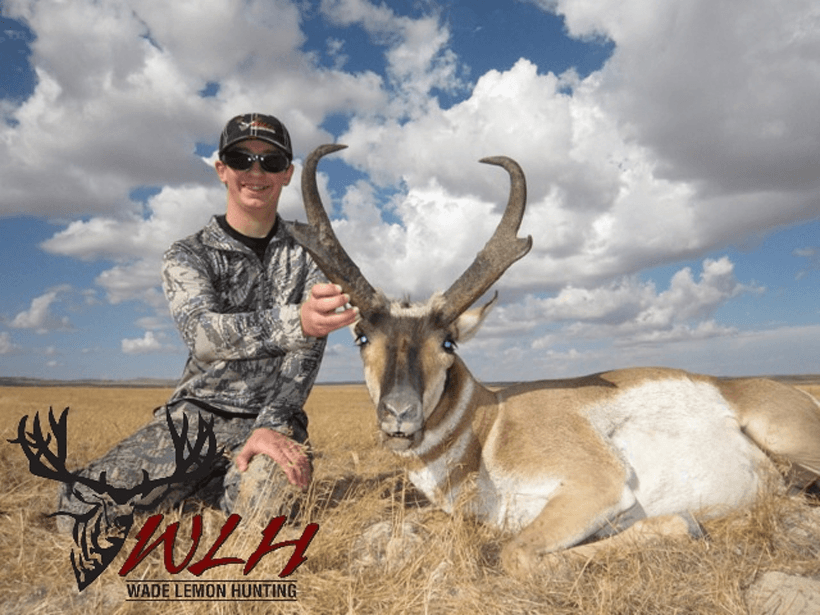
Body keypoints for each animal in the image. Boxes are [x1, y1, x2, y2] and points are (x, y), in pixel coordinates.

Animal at [290, 144, 820, 576]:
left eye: (448, 344)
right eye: (361, 336)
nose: (399, 414)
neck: (490, 427)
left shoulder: (597, 488)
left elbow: (516, 555)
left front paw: (682, 526)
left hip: (785, 436)